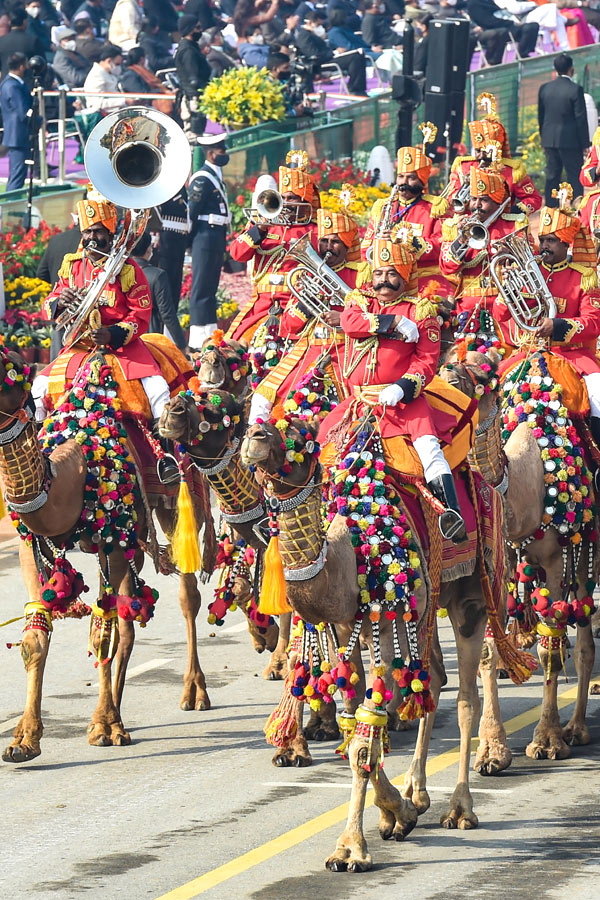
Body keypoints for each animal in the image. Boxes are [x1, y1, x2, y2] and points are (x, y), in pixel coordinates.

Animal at [0, 348, 216, 764]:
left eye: (7, 371)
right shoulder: (29, 544)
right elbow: (37, 637)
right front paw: (24, 741)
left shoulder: (113, 541)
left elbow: (102, 628)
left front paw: (104, 727)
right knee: (129, 618)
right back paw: (118, 706)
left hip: (182, 502)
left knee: (187, 597)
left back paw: (193, 692)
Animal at [241, 400, 508, 864]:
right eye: (263, 421)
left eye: (298, 432)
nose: (253, 438)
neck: (347, 558)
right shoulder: (345, 629)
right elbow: (356, 732)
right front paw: (396, 814)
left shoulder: (384, 624)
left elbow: (365, 741)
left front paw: (350, 848)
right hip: (427, 603)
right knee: (432, 681)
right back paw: (417, 790)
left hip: (471, 593)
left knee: (466, 699)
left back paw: (460, 808)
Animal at [442, 344, 596, 760]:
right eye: (446, 362)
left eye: (484, 373)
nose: (449, 377)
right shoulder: (501, 562)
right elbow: (489, 651)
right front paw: (491, 750)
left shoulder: (556, 561)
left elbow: (549, 650)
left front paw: (547, 739)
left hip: (584, 546)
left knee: (583, 638)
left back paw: (576, 727)